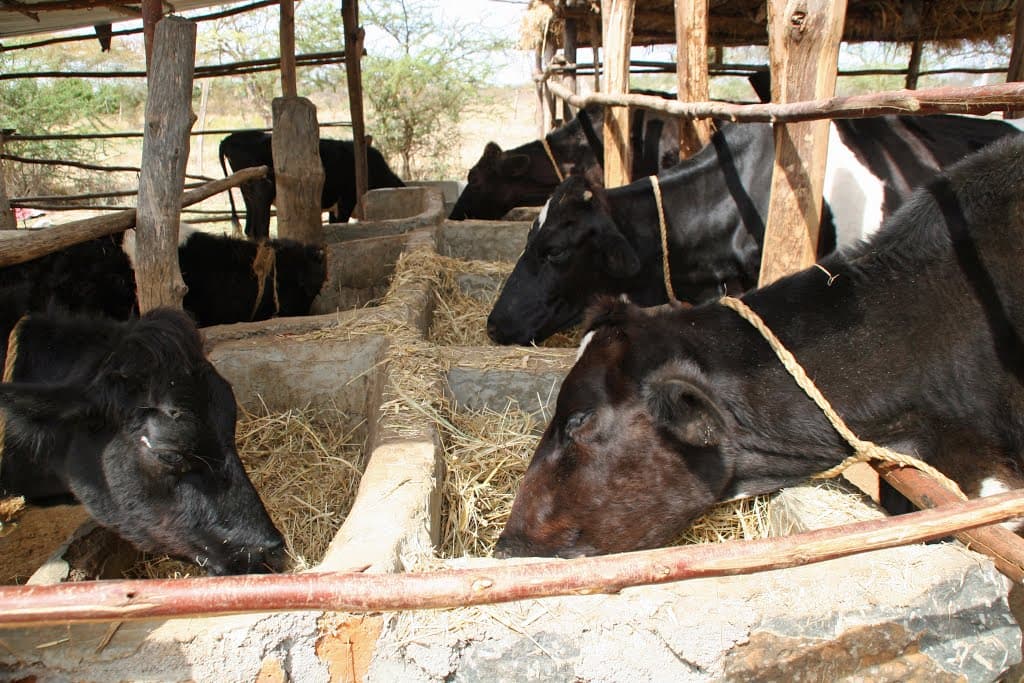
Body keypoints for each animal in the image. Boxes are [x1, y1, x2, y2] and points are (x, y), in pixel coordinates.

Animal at [219, 131, 405, 240]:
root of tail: (229, 138)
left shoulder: (335, 207)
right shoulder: (346, 200)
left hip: (247, 193)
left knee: (250, 229)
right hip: (263, 190)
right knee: (260, 229)